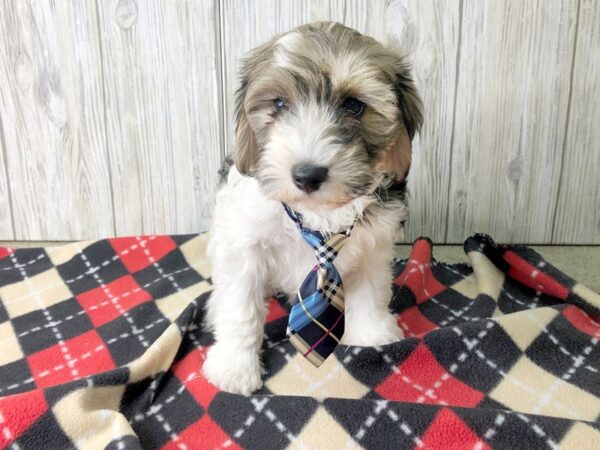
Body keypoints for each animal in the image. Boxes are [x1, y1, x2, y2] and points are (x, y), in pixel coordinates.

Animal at [204, 22, 424, 394]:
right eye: (279, 104)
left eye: (354, 105)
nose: (307, 175)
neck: (318, 212)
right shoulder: (243, 240)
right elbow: (240, 303)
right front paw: (235, 366)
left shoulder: (373, 244)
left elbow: (371, 288)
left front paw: (372, 335)